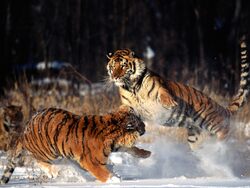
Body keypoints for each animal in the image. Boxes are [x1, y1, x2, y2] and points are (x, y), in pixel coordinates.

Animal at [0, 106, 150, 184]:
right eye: (140, 123)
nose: (145, 127)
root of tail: (24, 131)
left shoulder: (115, 146)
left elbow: (131, 149)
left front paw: (146, 154)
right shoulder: (90, 161)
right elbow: (102, 173)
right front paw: (114, 180)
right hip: (47, 152)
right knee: (41, 162)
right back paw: (55, 171)